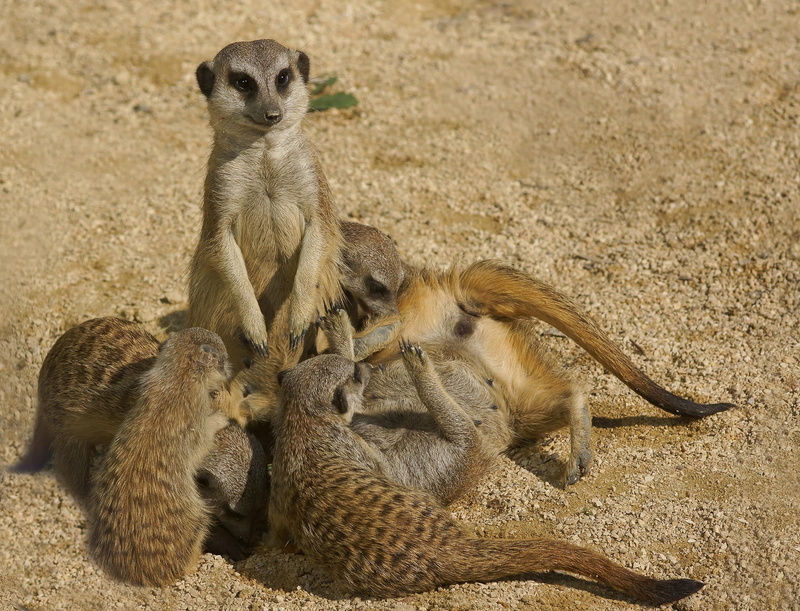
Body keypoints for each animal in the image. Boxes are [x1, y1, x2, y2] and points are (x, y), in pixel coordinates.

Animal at [87, 327, 233, 587]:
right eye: (224, 358)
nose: (229, 367)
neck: (178, 379)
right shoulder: (195, 416)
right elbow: (202, 441)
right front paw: (219, 418)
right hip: (195, 520)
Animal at [188, 39, 343, 368]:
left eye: (282, 77)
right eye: (243, 82)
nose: (272, 113)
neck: (265, 155)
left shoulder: (311, 177)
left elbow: (321, 231)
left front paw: (299, 316)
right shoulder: (221, 185)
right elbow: (220, 243)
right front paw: (255, 326)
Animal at [268, 352, 705, 604]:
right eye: (354, 375)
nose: (366, 366)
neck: (301, 422)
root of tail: (446, 549)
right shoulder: (353, 446)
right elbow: (375, 461)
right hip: (453, 458)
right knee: (462, 431)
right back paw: (421, 370)